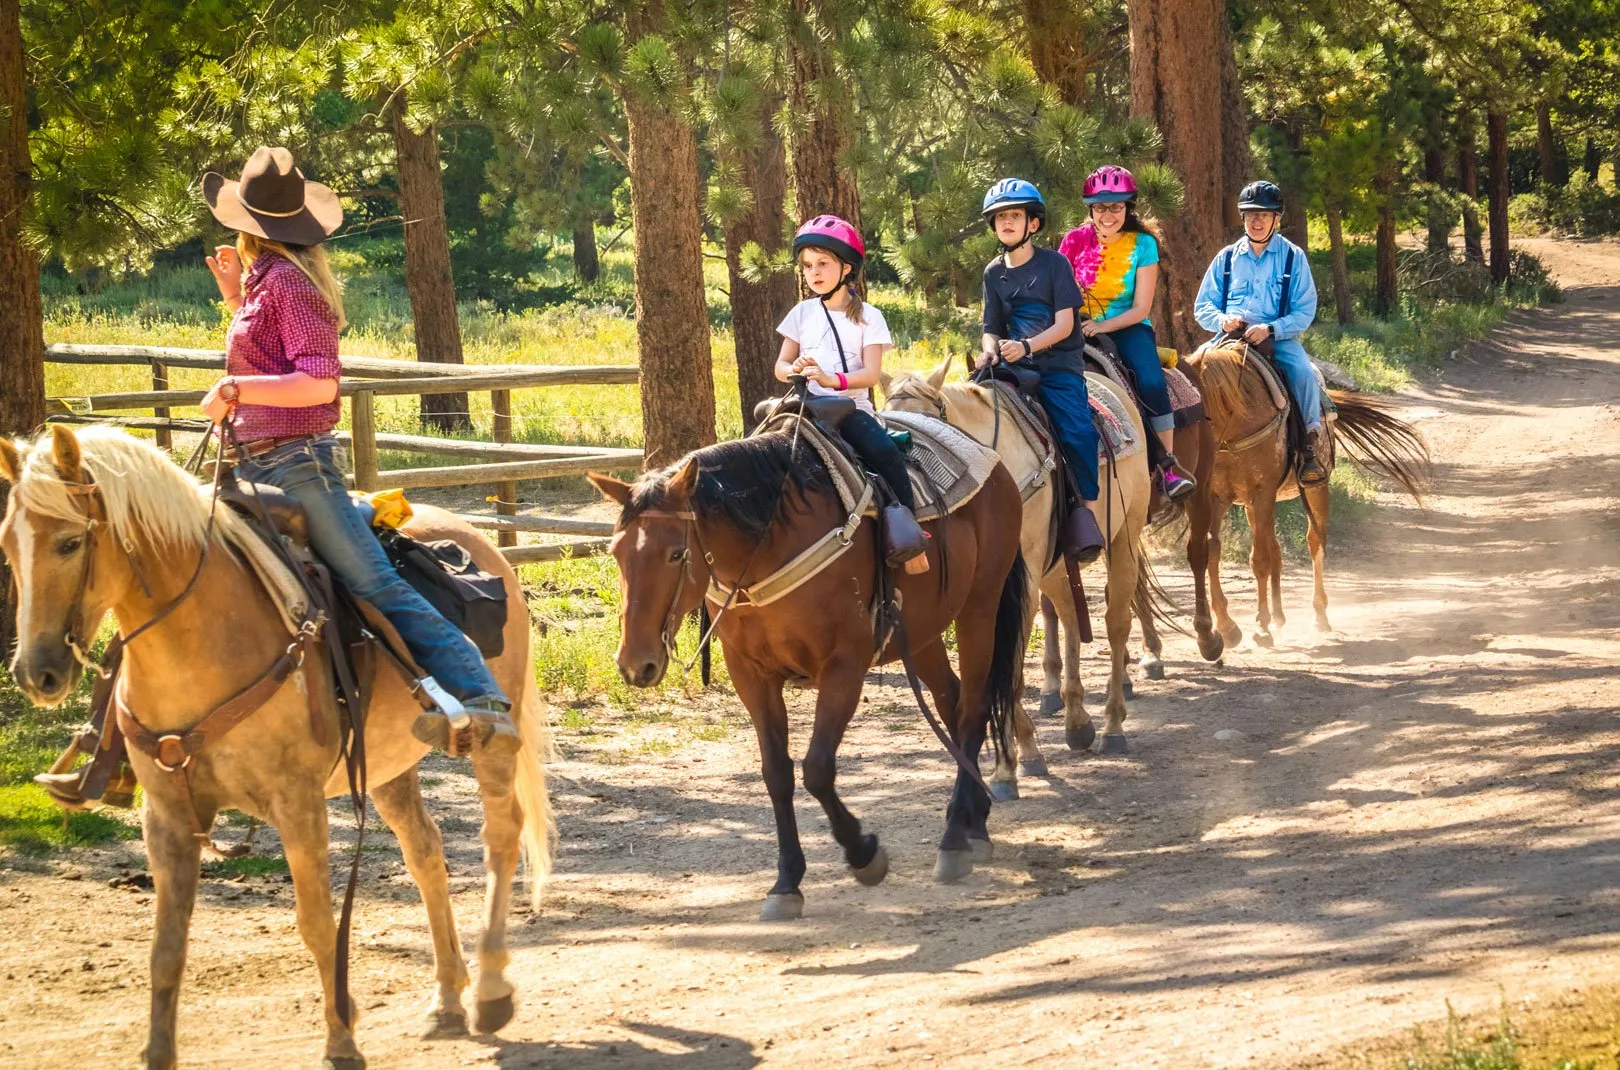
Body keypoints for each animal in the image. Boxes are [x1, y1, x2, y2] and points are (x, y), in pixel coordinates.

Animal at [0, 425, 554, 1070]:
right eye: (10, 545)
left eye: (68, 543)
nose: (35, 674)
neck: (204, 639)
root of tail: (488, 548)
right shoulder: (166, 814)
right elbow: (166, 946)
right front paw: (158, 1052)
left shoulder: (298, 802)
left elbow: (316, 922)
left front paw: (342, 1041)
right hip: (387, 767)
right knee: (425, 852)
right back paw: (446, 998)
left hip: (491, 747)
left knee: (501, 840)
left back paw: (489, 990)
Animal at [590, 426, 1027, 919]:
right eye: (616, 551)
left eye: (675, 553)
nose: (635, 663)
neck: (768, 546)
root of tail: (993, 464)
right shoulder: (751, 675)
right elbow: (776, 774)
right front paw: (786, 883)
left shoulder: (843, 666)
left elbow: (817, 769)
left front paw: (864, 854)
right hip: (922, 631)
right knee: (951, 702)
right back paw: (975, 823)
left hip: (980, 607)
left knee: (972, 710)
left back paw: (954, 839)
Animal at [882, 358, 1153, 777]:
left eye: (920, 439)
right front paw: (1014, 757)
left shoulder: (1020, 579)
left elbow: (1007, 664)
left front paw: (1016, 759)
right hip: (1054, 564)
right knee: (1069, 614)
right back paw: (1076, 720)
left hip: (1125, 533)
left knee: (1116, 623)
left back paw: (1112, 725)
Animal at [1188, 338, 1429, 648]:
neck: (1234, 430)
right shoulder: (1218, 498)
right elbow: (1213, 553)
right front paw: (1228, 627)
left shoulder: (1261, 493)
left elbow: (1259, 560)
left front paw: (1261, 627)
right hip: (1255, 506)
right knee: (1276, 549)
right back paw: (1279, 617)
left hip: (1313, 490)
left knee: (1314, 543)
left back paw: (1318, 616)